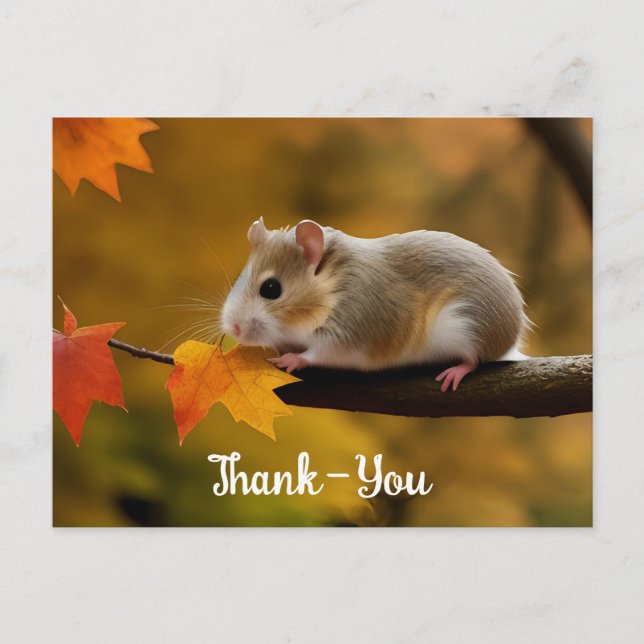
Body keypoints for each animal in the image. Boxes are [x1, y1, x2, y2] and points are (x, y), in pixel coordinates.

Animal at [221, 218, 528, 391]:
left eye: (271, 288)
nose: (233, 329)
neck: (332, 285)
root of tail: (510, 342)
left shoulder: (350, 333)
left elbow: (319, 352)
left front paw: (292, 359)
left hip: (465, 329)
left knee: (474, 359)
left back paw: (456, 372)